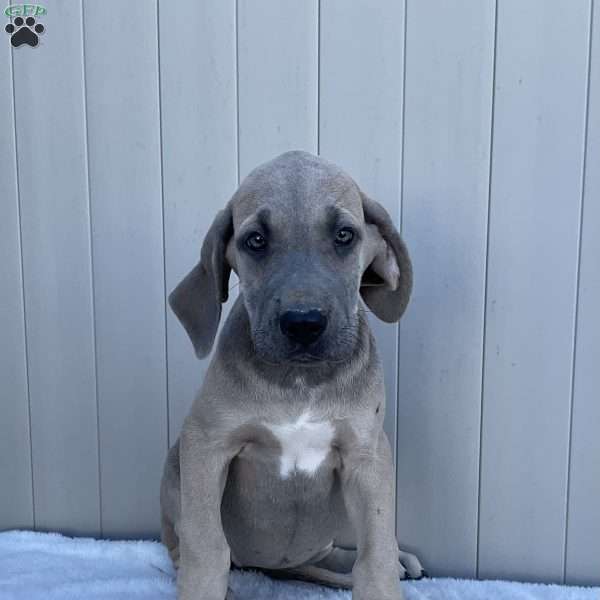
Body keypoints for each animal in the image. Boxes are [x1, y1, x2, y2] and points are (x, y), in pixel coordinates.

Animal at [159, 151, 422, 600]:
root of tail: (275, 567)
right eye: (255, 241)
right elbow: (207, 547)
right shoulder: (205, 443)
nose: (303, 324)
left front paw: (385, 572)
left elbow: (376, 555)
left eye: (345, 235)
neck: (300, 383)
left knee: (337, 560)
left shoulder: (368, 455)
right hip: (174, 468)